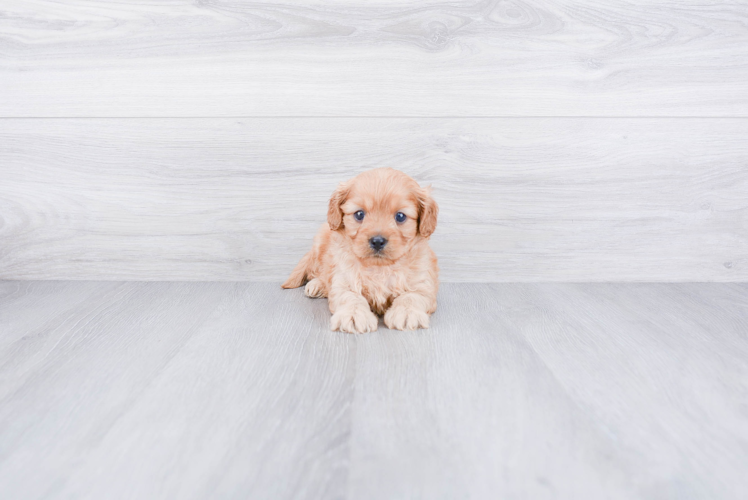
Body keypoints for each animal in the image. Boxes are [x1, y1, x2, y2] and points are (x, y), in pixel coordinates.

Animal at [282, 166, 438, 334]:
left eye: (400, 216)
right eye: (359, 214)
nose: (377, 241)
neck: (379, 267)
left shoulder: (423, 284)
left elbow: (412, 296)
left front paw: (406, 312)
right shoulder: (344, 280)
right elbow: (351, 297)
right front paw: (354, 315)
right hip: (319, 246)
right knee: (320, 273)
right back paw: (317, 285)